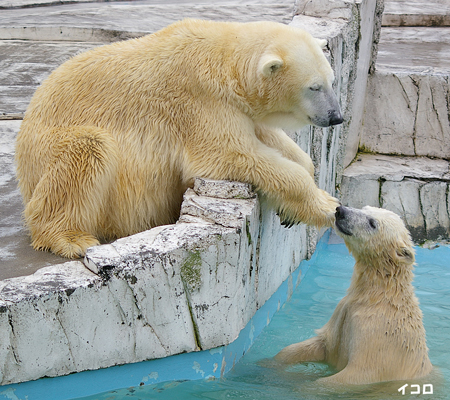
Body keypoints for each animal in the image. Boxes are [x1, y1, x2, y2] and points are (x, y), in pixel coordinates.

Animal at [15, 18, 342, 258]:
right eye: (314, 87)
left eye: (332, 81)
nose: (336, 116)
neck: (225, 61)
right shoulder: (200, 103)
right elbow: (230, 154)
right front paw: (328, 206)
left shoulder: (237, 108)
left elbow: (272, 140)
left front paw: (292, 208)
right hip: (48, 149)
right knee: (87, 148)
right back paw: (71, 239)